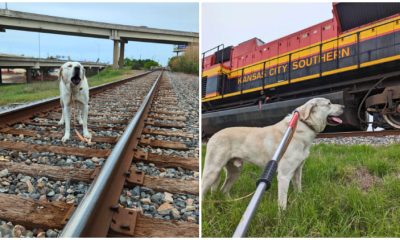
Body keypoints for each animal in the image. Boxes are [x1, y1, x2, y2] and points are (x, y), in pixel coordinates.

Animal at [202, 97, 346, 210]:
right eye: (329, 103)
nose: (344, 106)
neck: (303, 124)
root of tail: (213, 136)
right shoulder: (284, 175)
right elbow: (282, 202)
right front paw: (282, 218)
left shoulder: (297, 170)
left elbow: (298, 189)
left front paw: (300, 200)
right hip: (212, 170)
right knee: (204, 189)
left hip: (235, 171)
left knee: (223, 189)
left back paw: (230, 203)